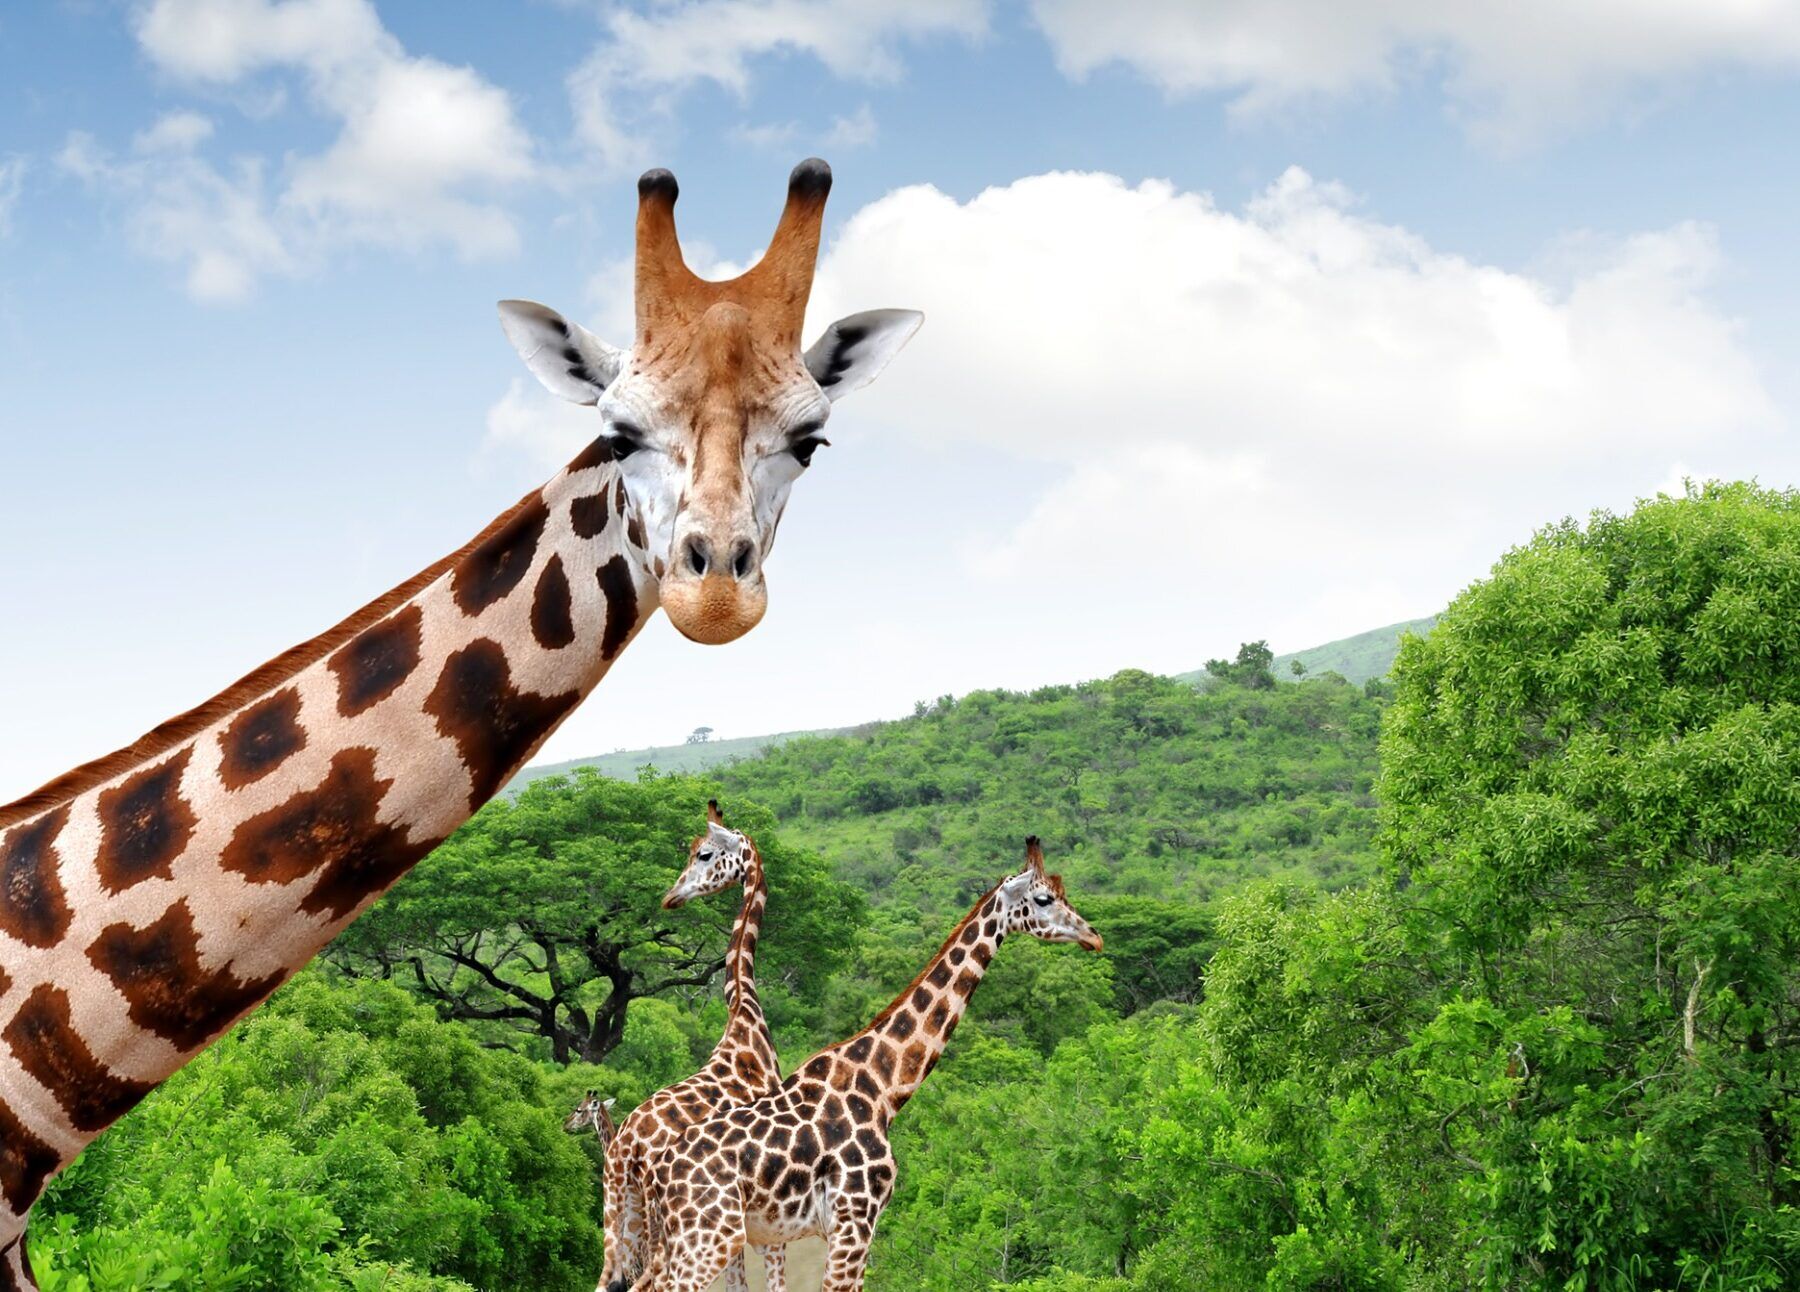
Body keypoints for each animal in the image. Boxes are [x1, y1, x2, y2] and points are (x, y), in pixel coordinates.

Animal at [637, 838, 1102, 1292]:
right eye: (1043, 898)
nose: (1093, 937)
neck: (884, 1086)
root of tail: (657, 1174)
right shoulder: (855, 1220)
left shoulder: (849, 1227)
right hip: (709, 1237)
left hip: (683, 1239)